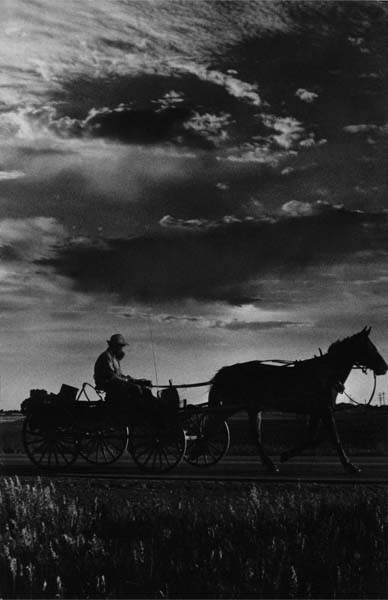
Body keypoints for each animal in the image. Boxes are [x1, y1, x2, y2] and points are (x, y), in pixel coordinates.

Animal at [209, 328, 388, 474]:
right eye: (371, 347)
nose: (384, 367)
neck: (326, 374)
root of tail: (226, 372)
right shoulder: (325, 410)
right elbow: (335, 438)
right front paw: (349, 465)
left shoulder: (317, 411)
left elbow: (311, 438)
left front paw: (286, 454)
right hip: (232, 407)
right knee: (212, 427)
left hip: (253, 409)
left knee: (254, 435)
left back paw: (269, 464)